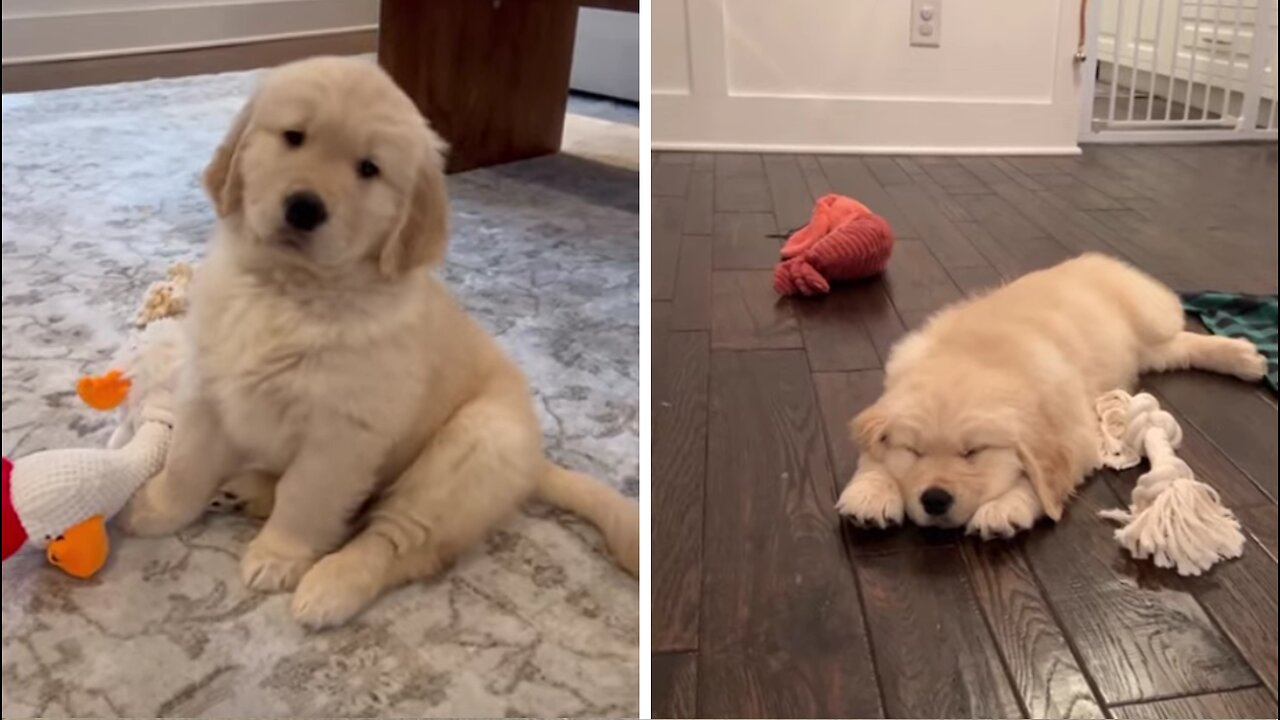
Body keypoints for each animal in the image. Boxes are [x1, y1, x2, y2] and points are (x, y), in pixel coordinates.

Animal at [120, 57, 640, 622]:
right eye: (293, 137)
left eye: (368, 169)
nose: (304, 208)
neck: (289, 291)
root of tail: (535, 466)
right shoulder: (209, 388)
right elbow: (186, 462)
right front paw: (157, 509)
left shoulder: (343, 431)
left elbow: (306, 496)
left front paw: (280, 555)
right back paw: (246, 490)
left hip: (470, 451)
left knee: (399, 543)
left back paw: (332, 584)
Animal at [834, 253, 1264, 538]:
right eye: (913, 451)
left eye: (973, 452)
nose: (934, 500)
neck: (973, 356)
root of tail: (1094, 258)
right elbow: (871, 456)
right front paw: (870, 492)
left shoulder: (1077, 435)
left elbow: (1046, 476)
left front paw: (1007, 506)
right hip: (1148, 352)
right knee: (1180, 347)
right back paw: (1246, 357)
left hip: (1150, 315)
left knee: (1180, 333)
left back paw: (1245, 356)